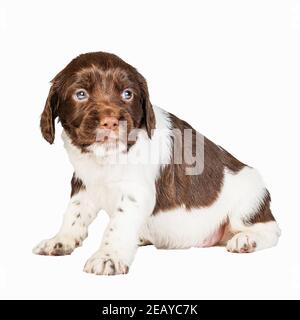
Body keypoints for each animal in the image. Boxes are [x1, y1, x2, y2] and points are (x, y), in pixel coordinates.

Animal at [32, 52, 282, 276]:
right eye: (81, 94)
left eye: (128, 94)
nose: (111, 122)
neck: (104, 159)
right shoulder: (84, 183)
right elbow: (74, 213)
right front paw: (60, 240)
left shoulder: (135, 192)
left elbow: (117, 225)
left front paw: (108, 257)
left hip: (249, 199)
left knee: (270, 230)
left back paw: (247, 239)